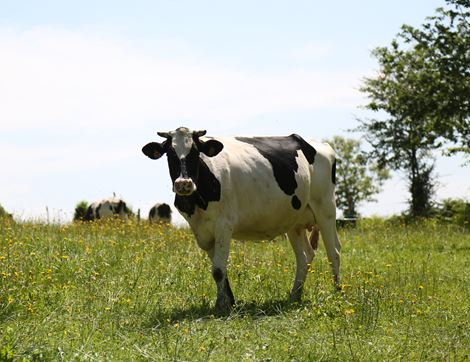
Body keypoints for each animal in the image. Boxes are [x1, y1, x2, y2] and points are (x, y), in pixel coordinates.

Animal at [141, 127, 340, 314]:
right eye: (170, 153)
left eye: (196, 152)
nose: (184, 184)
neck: (196, 202)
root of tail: (318, 143)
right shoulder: (201, 230)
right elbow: (219, 268)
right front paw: (230, 302)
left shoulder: (224, 225)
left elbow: (218, 270)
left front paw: (221, 305)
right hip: (295, 221)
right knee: (305, 256)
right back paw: (294, 295)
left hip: (326, 209)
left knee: (334, 252)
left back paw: (338, 292)